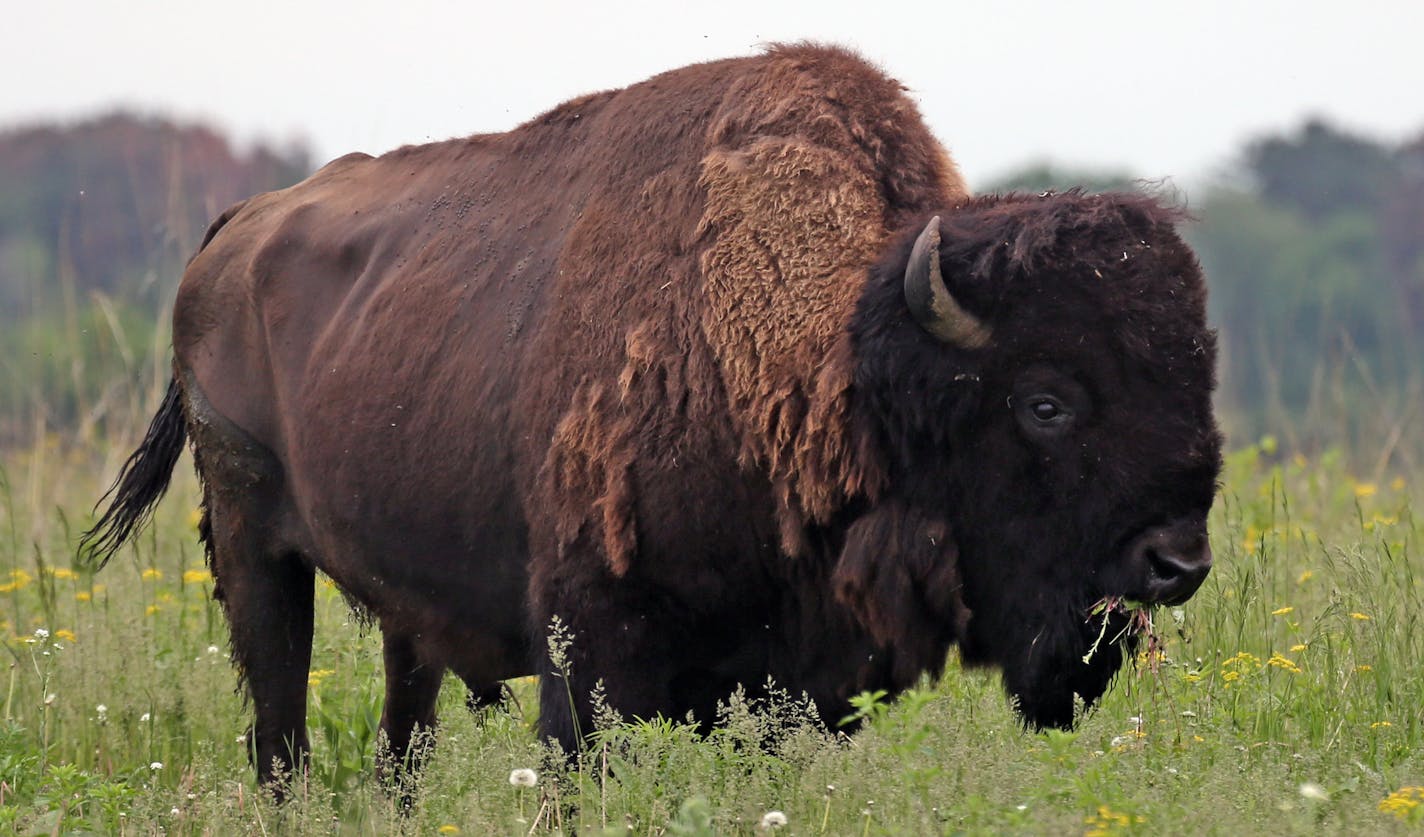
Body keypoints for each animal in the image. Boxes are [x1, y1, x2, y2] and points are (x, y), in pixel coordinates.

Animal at [80, 42, 1224, 785]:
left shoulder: (792, 683)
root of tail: (240, 228)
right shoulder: (586, 645)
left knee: (402, 735)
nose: (1176, 563)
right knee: (278, 723)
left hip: (399, 595)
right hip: (250, 541)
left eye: (1193, 380)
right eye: (1045, 402)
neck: (838, 358)